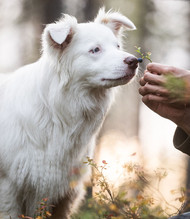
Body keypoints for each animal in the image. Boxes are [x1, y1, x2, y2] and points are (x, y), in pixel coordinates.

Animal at [0, 8, 137, 219]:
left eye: (118, 46)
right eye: (95, 50)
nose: (135, 61)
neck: (55, 113)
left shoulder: (65, 193)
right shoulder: (8, 188)